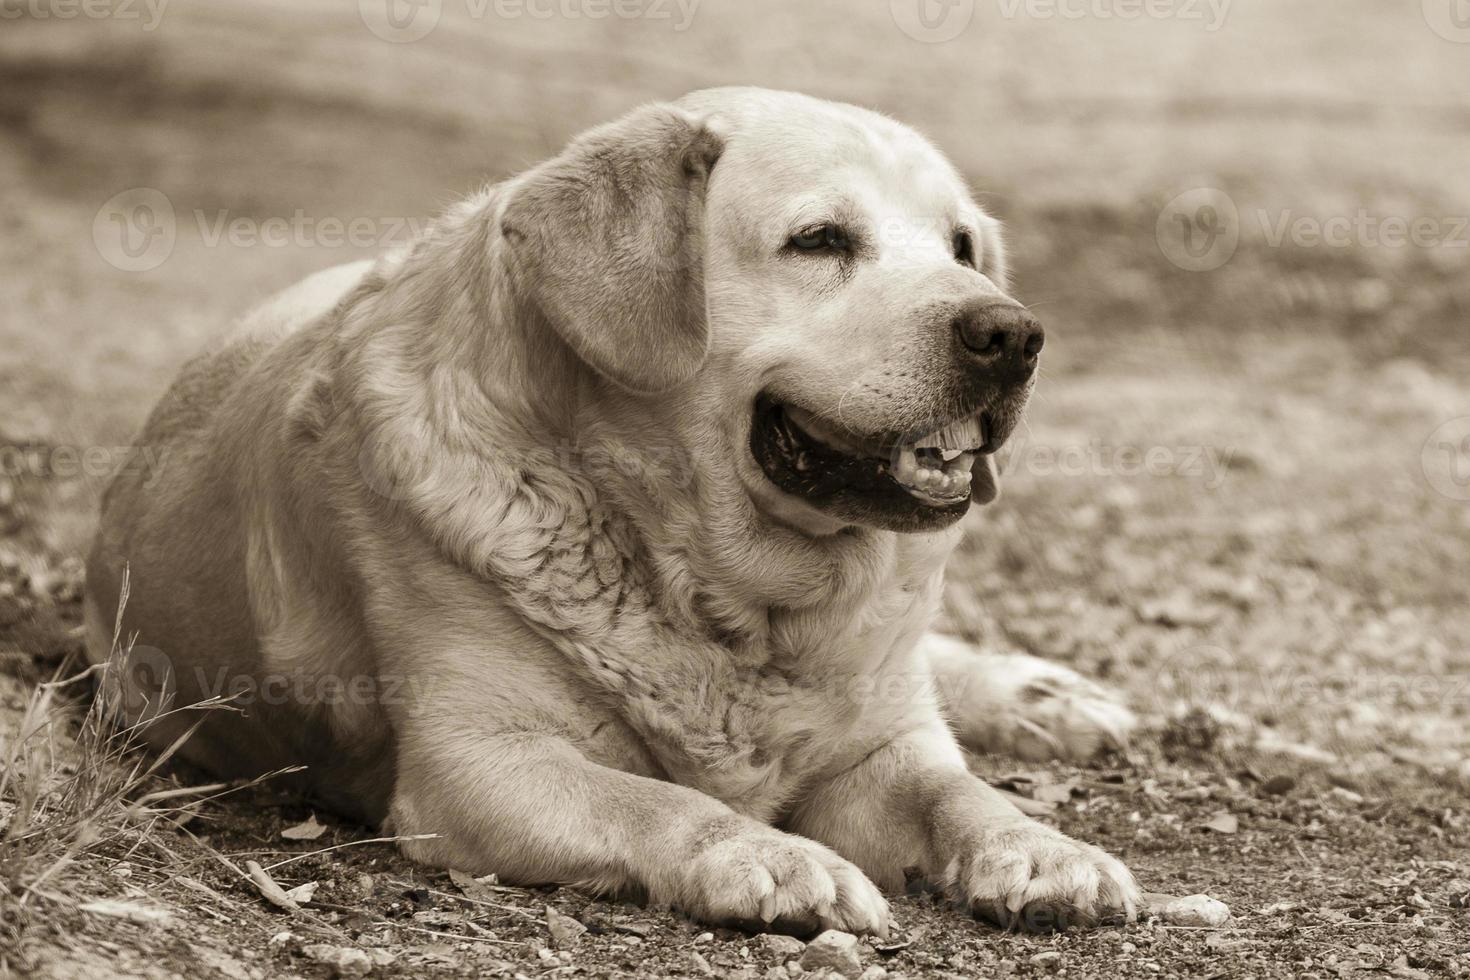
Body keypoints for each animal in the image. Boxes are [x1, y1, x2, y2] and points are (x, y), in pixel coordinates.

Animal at [85, 89, 1140, 934]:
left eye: (963, 247)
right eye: (820, 241)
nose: (1012, 332)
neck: (728, 602)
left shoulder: (885, 746)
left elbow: (957, 790)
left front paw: (1042, 846)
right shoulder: (479, 763)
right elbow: (657, 803)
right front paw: (769, 855)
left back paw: (1041, 695)